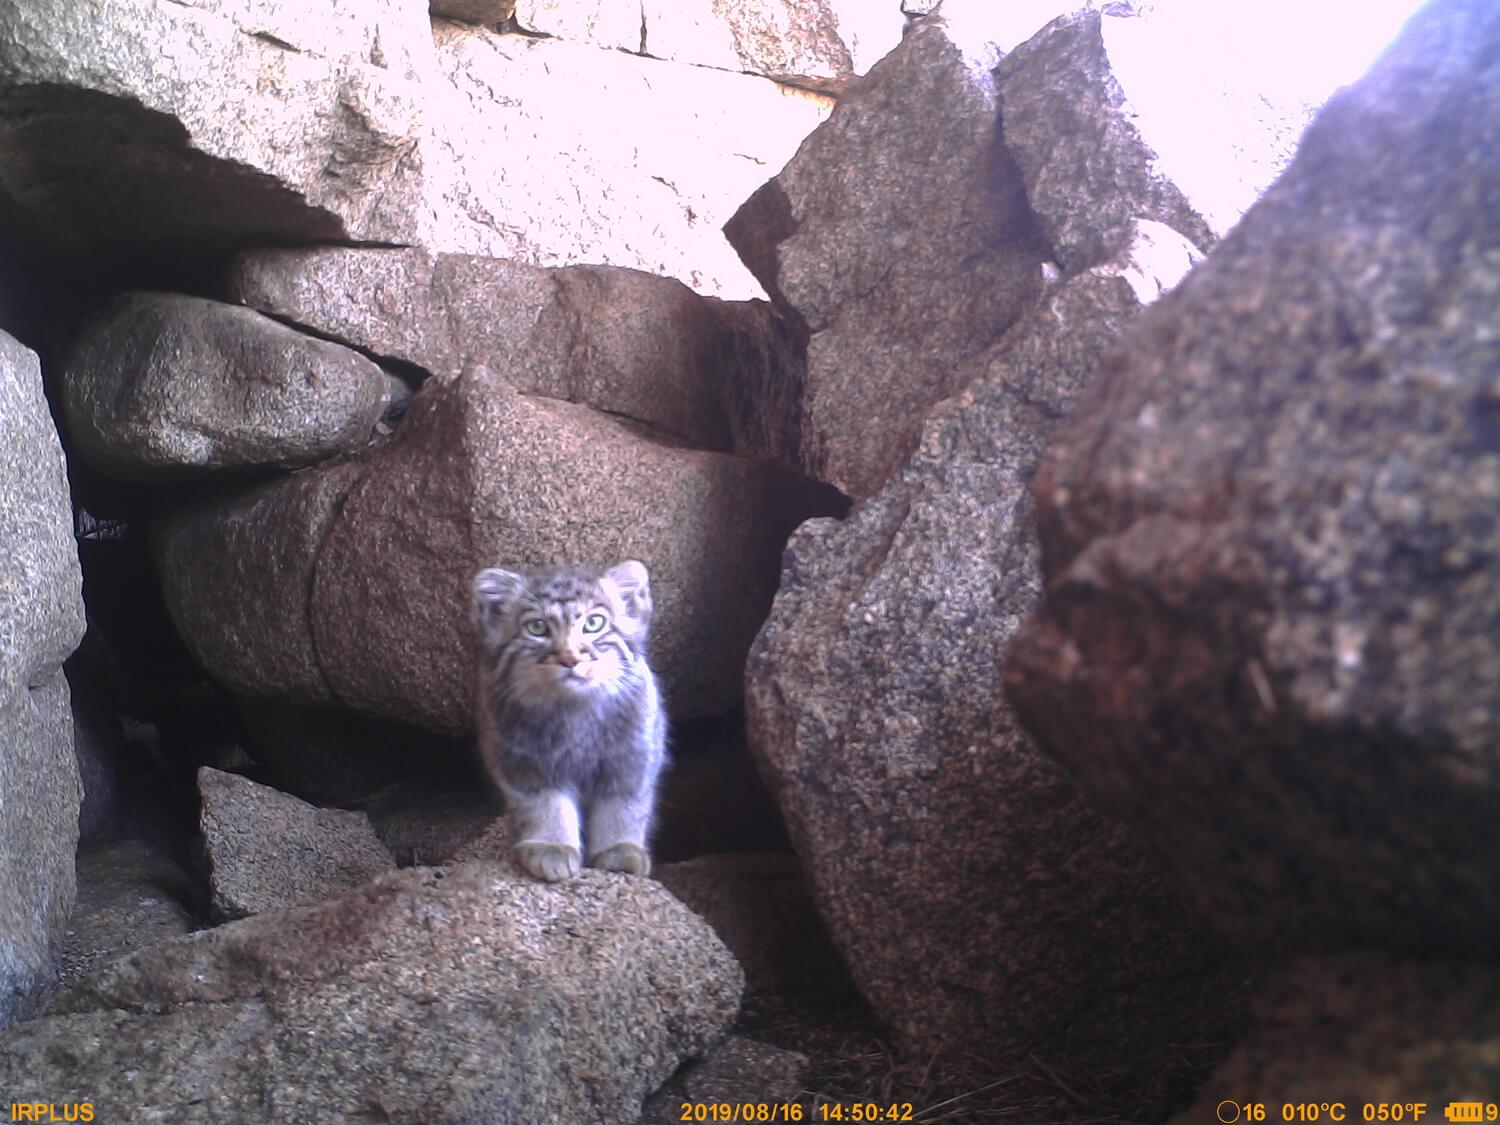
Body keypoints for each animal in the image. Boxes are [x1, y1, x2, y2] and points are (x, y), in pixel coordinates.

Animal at [471, 561, 666, 888]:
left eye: (594, 623)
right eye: (537, 628)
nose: (570, 658)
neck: (575, 712)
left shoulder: (634, 757)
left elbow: (624, 807)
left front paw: (619, 849)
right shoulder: (523, 763)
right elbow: (545, 807)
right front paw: (552, 846)